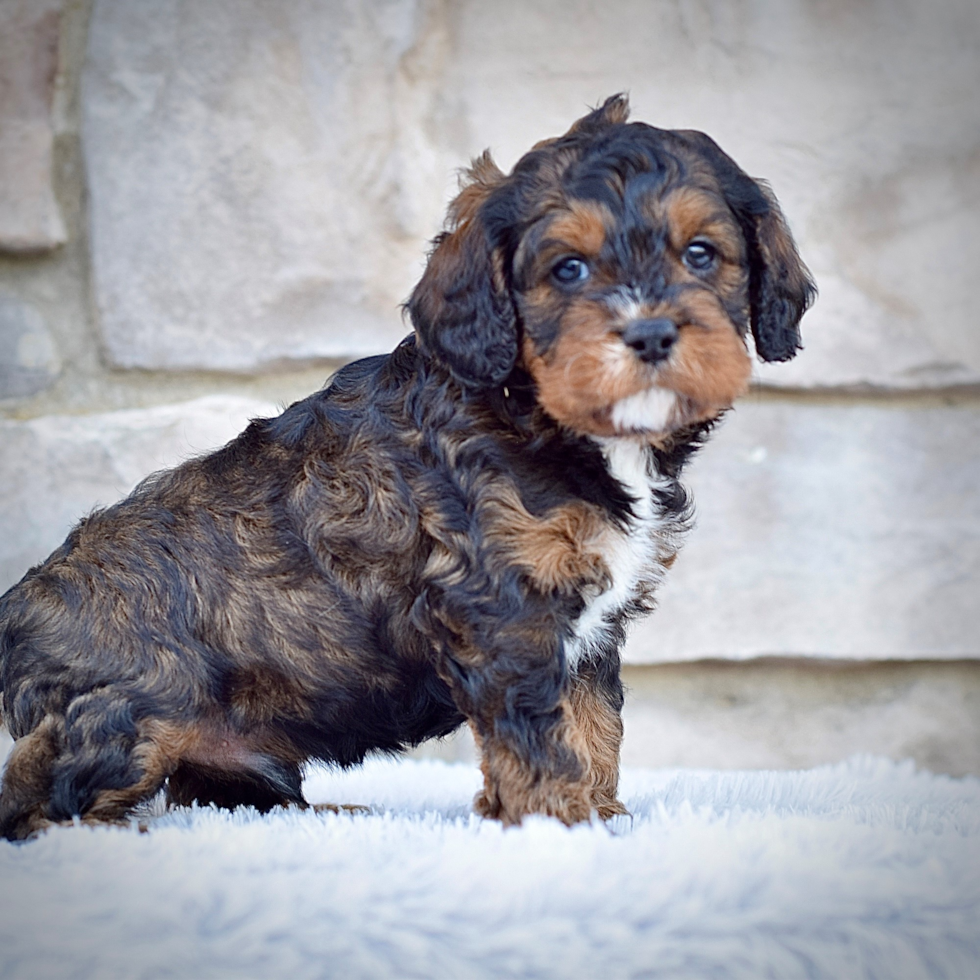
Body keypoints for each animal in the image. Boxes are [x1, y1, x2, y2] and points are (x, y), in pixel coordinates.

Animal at [0, 95, 812, 840]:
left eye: (700, 254)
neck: (542, 417)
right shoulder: (504, 609)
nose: (648, 334)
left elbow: (592, 724)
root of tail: (15, 615)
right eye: (568, 268)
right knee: (40, 802)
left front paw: (600, 816)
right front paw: (558, 824)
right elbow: (544, 734)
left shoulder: (586, 627)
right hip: (136, 715)